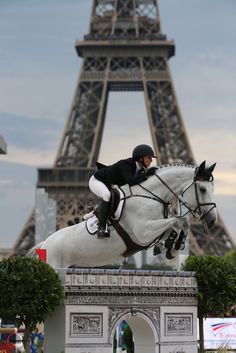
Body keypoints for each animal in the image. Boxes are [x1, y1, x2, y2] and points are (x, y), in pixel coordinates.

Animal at [33, 161, 218, 268]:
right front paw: (171, 246)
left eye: (212, 189)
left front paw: (170, 247)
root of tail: (44, 244)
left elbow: (182, 222)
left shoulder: (152, 231)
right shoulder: (143, 232)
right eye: (202, 189)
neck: (151, 194)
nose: (212, 220)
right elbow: (176, 222)